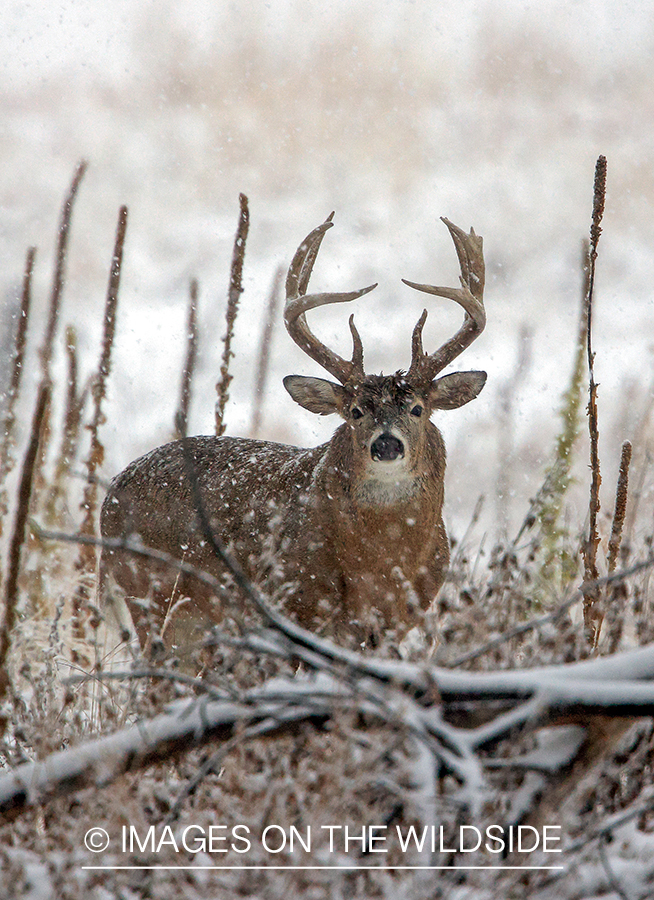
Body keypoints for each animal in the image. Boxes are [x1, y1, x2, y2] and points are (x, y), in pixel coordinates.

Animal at [100, 214, 490, 644]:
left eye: (418, 408)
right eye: (354, 412)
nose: (386, 444)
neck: (379, 565)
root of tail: (109, 495)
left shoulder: (399, 622)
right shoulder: (298, 604)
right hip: (151, 597)